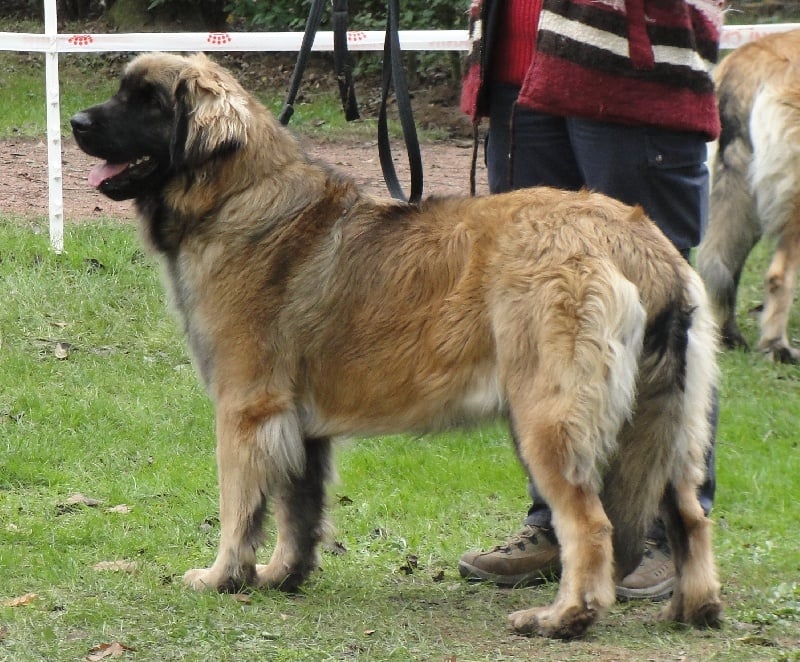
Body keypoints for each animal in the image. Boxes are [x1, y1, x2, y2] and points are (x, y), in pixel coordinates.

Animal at [72, 53, 720, 644]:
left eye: (148, 101)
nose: (76, 121)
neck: (234, 195)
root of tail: (639, 241)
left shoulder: (247, 408)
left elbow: (242, 505)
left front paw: (222, 577)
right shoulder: (299, 423)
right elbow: (297, 507)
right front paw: (284, 575)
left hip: (550, 419)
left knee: (592, 525)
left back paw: (563, 618)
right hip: (668, 422)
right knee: (690, 515)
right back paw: (691, 610)